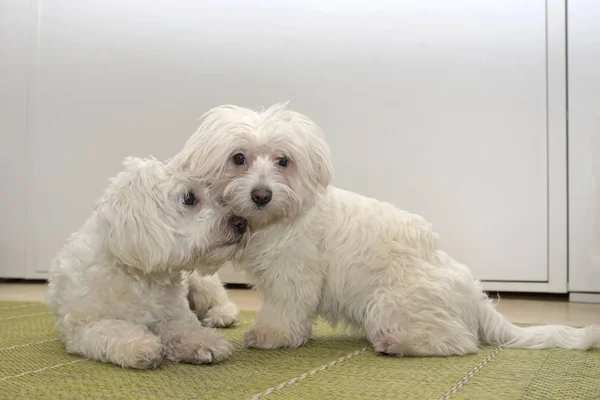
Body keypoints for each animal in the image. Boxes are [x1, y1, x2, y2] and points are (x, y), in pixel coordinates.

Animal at [46, 156, 248, 368]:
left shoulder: (175, 314)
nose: (242, 223)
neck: (140, 276)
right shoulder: (82, 326)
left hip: (201, 283)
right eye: (189, 198)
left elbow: (186, 326)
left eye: (219, 197)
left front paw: (202, 340)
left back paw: (221, 315)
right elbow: (115, 328)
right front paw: (140, 344)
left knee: (222, 299)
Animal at [170, 103, 600, 356]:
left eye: (283, 160)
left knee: (459, 342)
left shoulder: (293, 278)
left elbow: (283, 312)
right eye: (238, 158)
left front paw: (270, 336)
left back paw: (398, 344)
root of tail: (476, 298)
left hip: (389, 304)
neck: (281, 217)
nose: (262, 194)